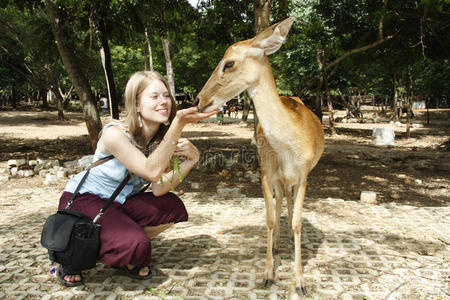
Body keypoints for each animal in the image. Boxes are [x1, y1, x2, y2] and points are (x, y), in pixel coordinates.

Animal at [193, 18, 324, 296]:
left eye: (229, 63)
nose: (199, 99)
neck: (289, 149)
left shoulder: (304, 174)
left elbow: (297, 221)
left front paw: (300, 281)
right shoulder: (265, 173)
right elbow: (270, 218)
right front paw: (267, 274)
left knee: (288, 200)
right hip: (278, 178)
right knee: (281, 198)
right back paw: (277, 244)